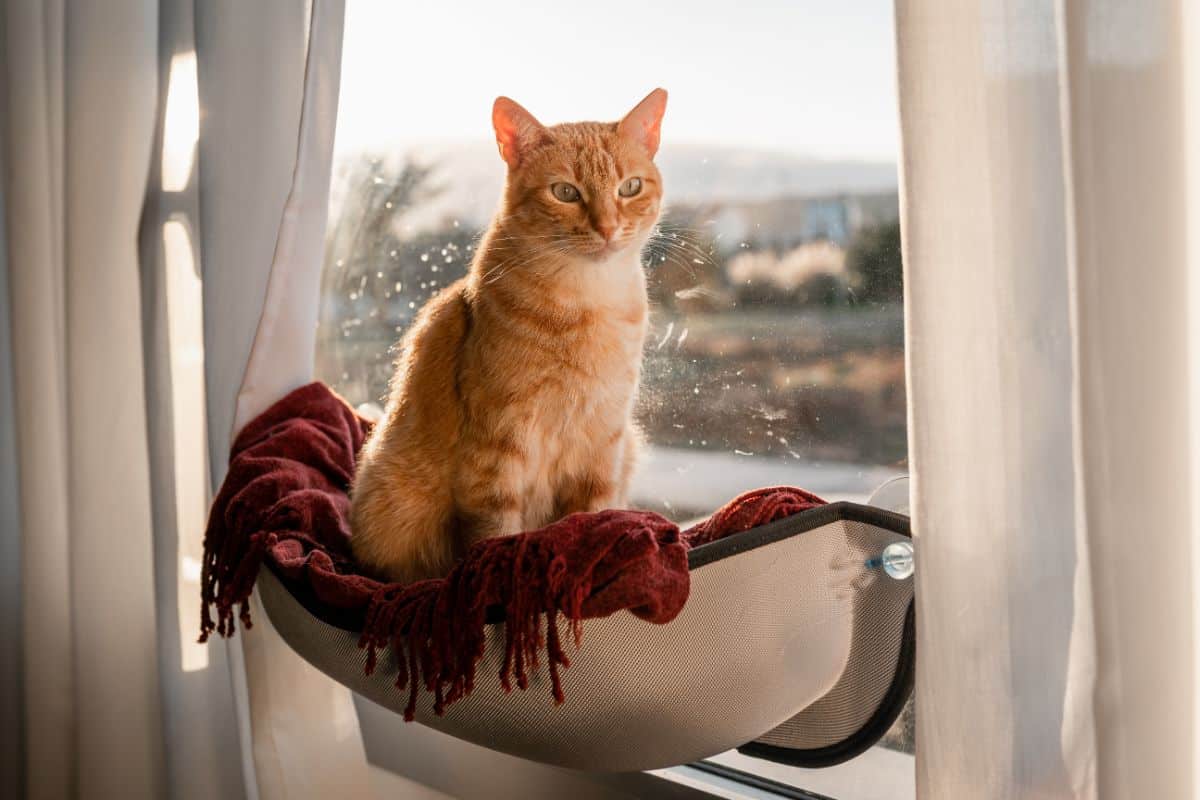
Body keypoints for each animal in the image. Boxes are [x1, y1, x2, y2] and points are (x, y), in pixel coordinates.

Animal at [350, 90, 667, 585]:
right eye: (565, 192)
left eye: (630, 188)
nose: (608, 228)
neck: (585, 304)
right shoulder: (497, 445)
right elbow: (496, 534)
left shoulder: (604, 442)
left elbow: (592, 518)